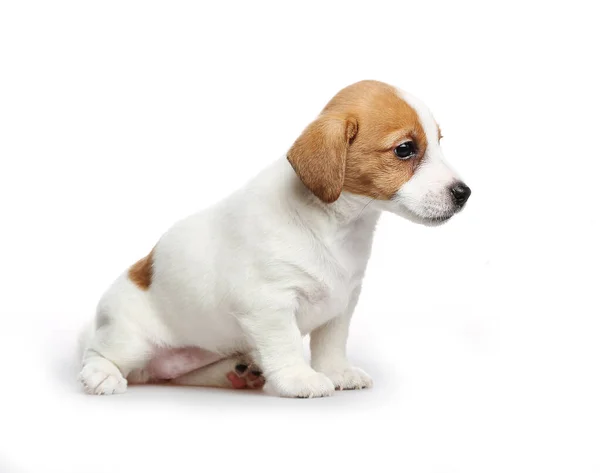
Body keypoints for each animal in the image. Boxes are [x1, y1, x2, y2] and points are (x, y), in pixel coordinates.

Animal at [78, 79, 468, 396]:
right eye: (405, 149)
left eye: (439, 143)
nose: (464, 193)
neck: (337, 226)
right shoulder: (269, 305)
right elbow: (286, 346)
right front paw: (300, 378)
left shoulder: (342, 305)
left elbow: (331, 344)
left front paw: (336, 372)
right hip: (130, 341)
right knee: (99, 354)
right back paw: (101, 375)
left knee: (176, 374)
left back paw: (236, 373)